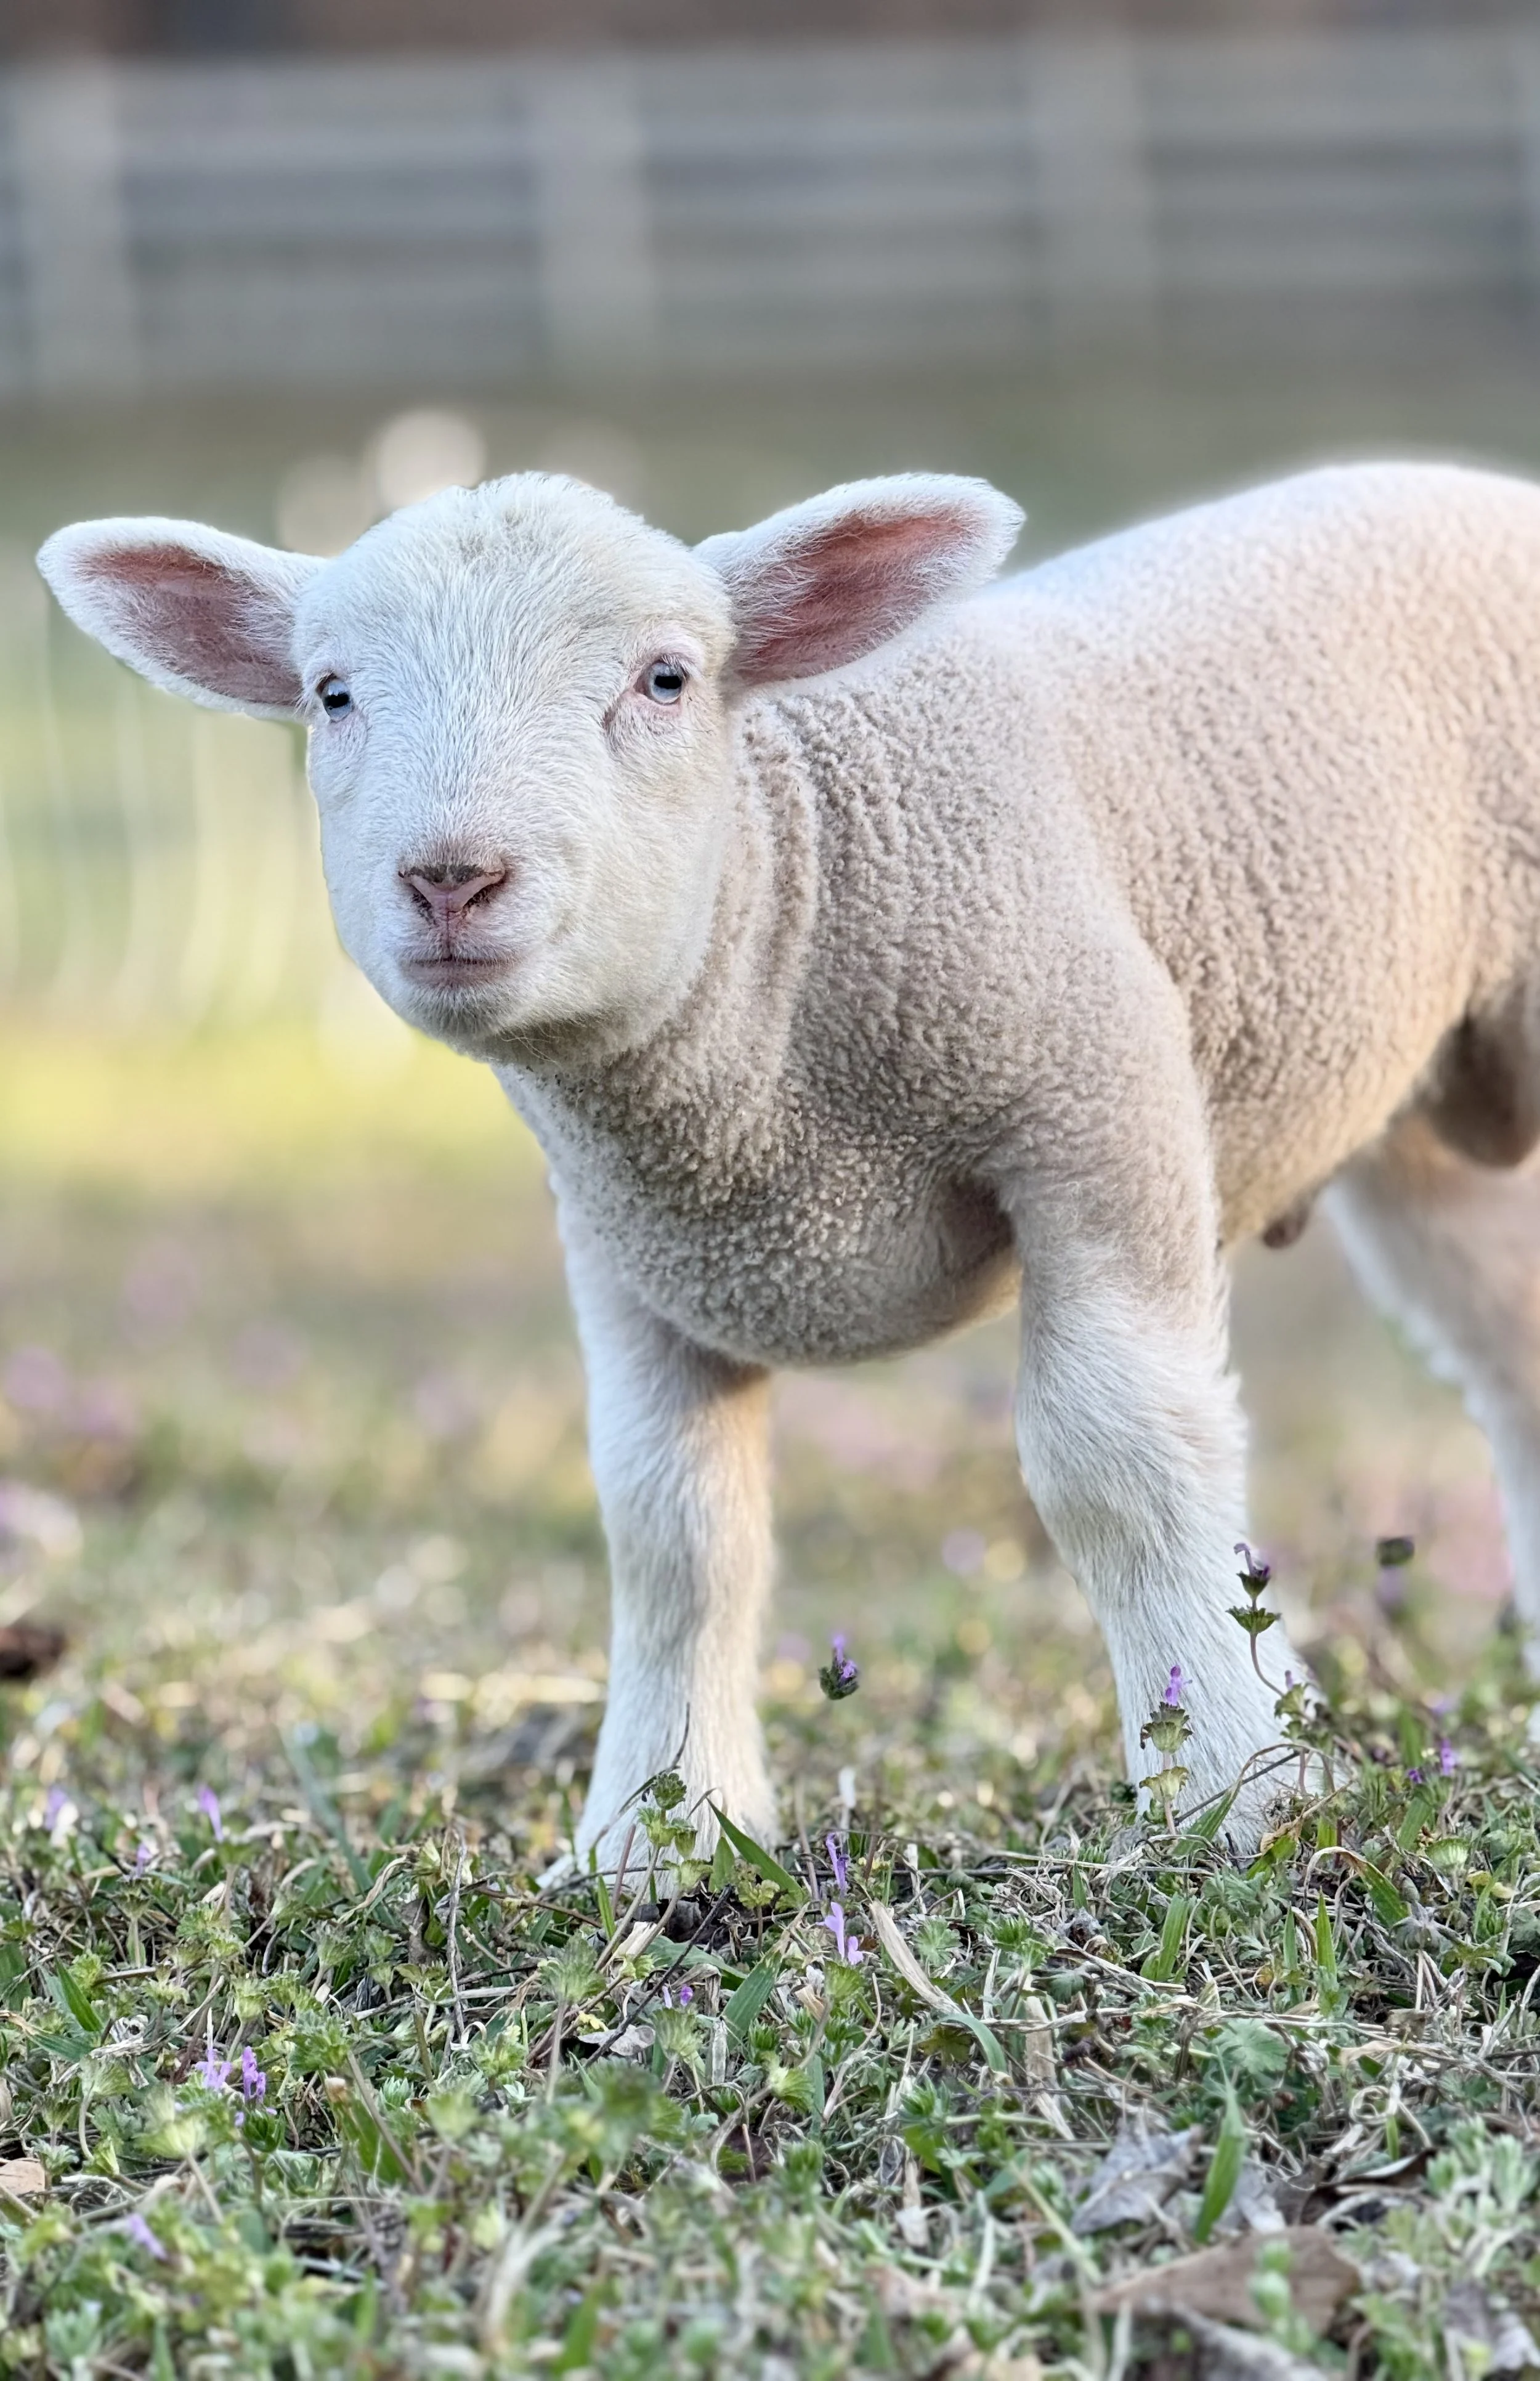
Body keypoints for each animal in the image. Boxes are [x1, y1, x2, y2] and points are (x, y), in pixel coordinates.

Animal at [38, 458, 1540, 1860]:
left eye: (665, 678)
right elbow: (675, 1531)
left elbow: (1114, 1456)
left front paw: (1234, 1785)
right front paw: (655, 1840)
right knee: (1510, 1359)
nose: (452, 880)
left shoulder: (1094, 1110)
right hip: (1428, 1141)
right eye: (333, 694)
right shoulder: (630, 1247)